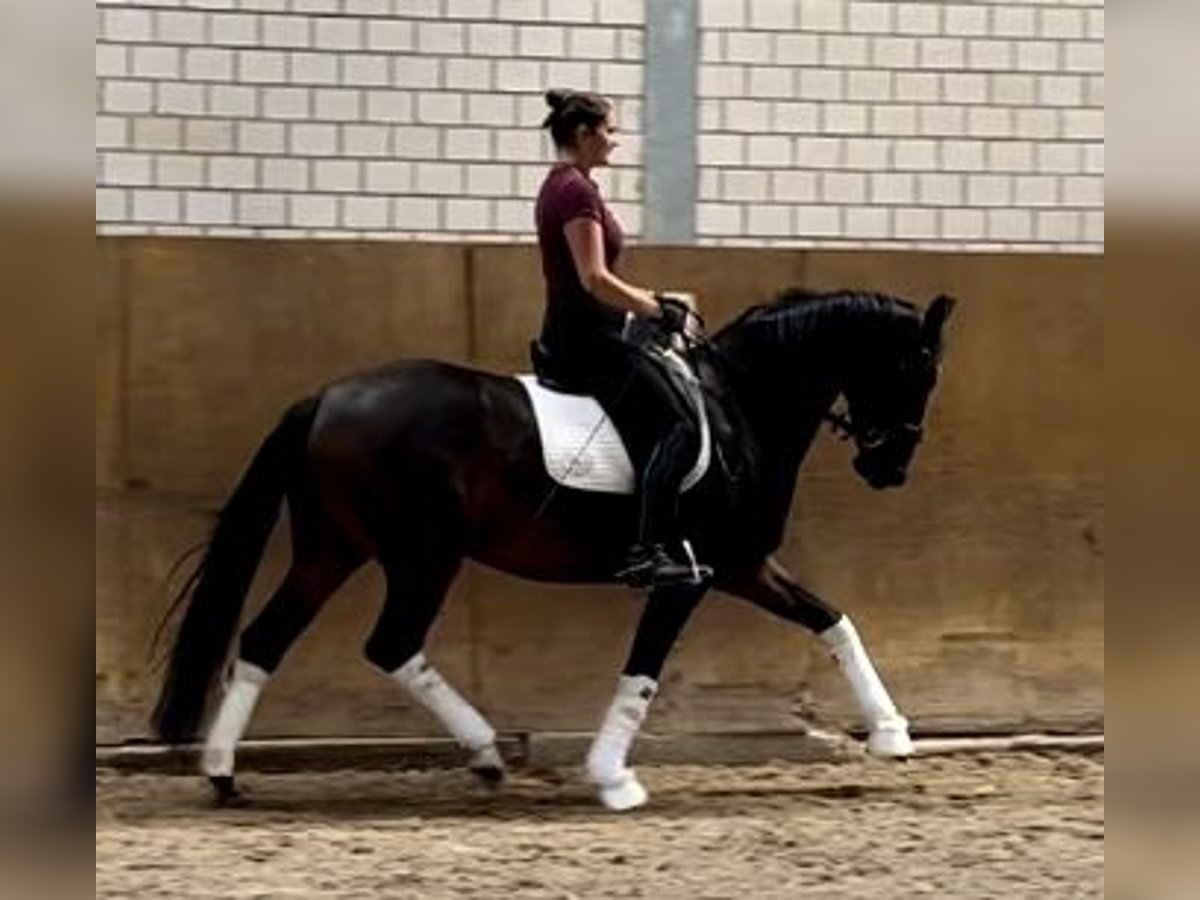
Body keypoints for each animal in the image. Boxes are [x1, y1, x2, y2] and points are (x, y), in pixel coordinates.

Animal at [150, 290, 955, 816]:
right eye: (919, 370)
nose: (889, 468)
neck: (738, 409)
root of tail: (325, 398)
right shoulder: (691, 575)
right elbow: (642, 672)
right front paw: (612, 779)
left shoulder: (742, 564)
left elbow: (832, 619)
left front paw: (891, 734)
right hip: (422, 553)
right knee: (390, 643)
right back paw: (484, 752)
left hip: (334, 548)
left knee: (266, 638)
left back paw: (223, 774)